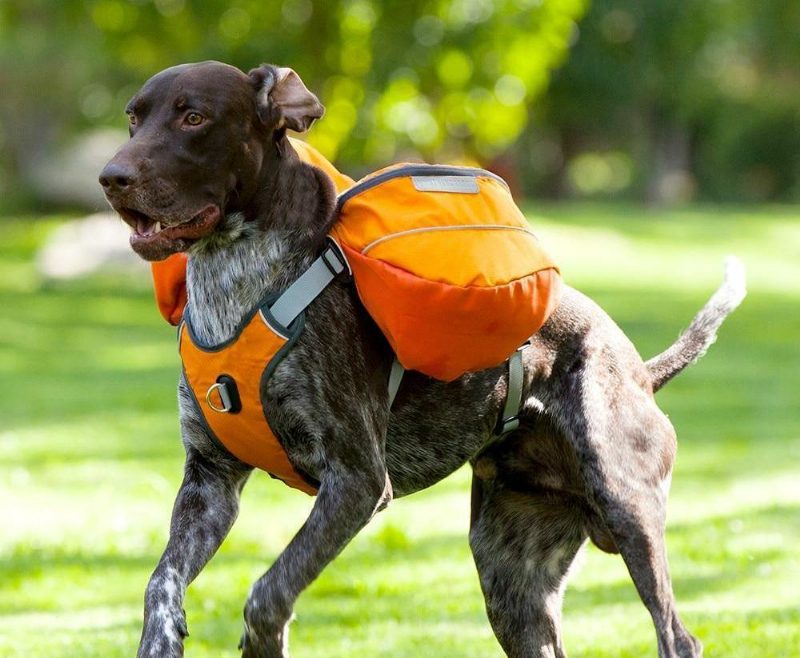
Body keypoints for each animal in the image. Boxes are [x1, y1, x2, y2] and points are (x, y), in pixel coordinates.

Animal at [98, 59, 744, 652]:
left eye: (194, 117)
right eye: (133, 117)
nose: (110, 177)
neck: (237, 278)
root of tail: (641, 373)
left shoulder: (356, 482)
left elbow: (268, 591)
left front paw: (263, 640)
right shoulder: (210, 483)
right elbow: (160, 583)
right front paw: (161, 638)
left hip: (626, 505)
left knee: (677, 635)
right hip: (511, 583)